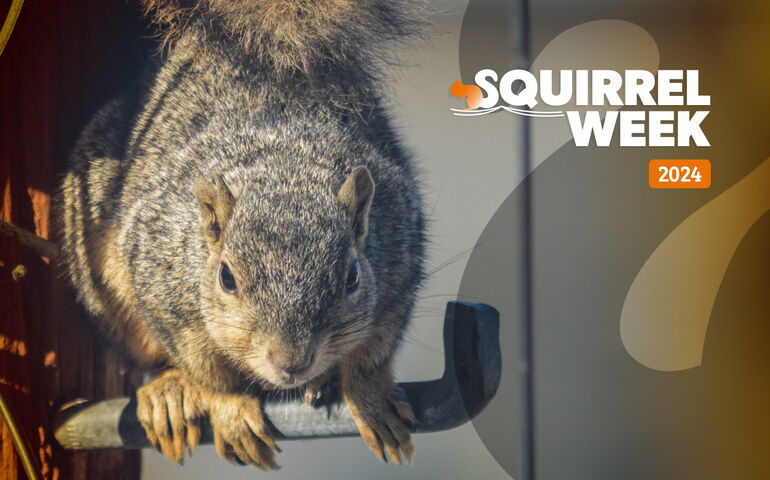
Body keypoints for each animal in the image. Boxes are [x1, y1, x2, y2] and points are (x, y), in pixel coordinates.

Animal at [56, 0, 426, 469]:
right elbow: (208, 371)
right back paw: (168, 394)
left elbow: (371, 356)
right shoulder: (161, 277)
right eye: (226, 278)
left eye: (353, 277)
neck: (284, 168)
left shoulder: (399, 257)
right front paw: (232, 412)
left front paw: (370, 400)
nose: (291, 361)